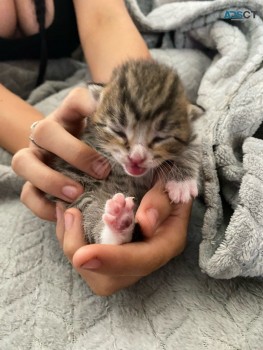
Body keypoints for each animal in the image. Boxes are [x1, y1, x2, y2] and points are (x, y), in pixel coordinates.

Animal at [53, 60, 202, 245]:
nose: (136, 158)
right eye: (118, 131)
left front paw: (182, 182)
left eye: (160, 138)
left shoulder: (193, 134)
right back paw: (118, 224)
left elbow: (192, 146)